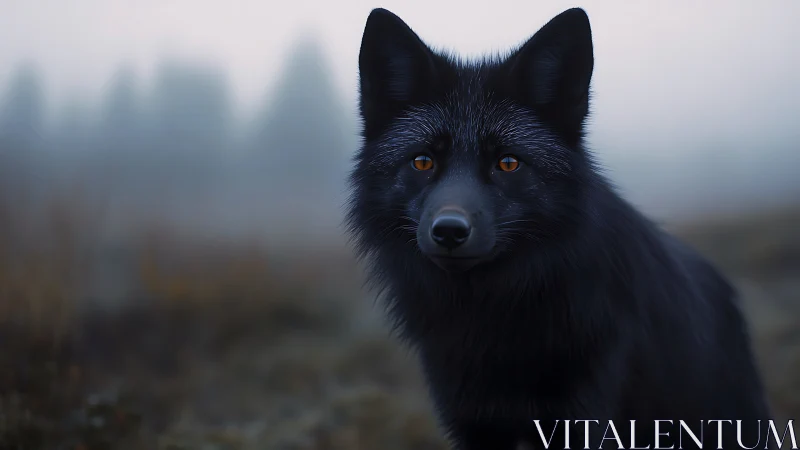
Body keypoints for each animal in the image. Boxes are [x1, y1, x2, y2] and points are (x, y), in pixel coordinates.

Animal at [345, 7, 775, 450]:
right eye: (423, 161)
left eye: (508, 163)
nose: (449, 231)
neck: (491, 317)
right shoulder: (472, 424)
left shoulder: (582, 418)